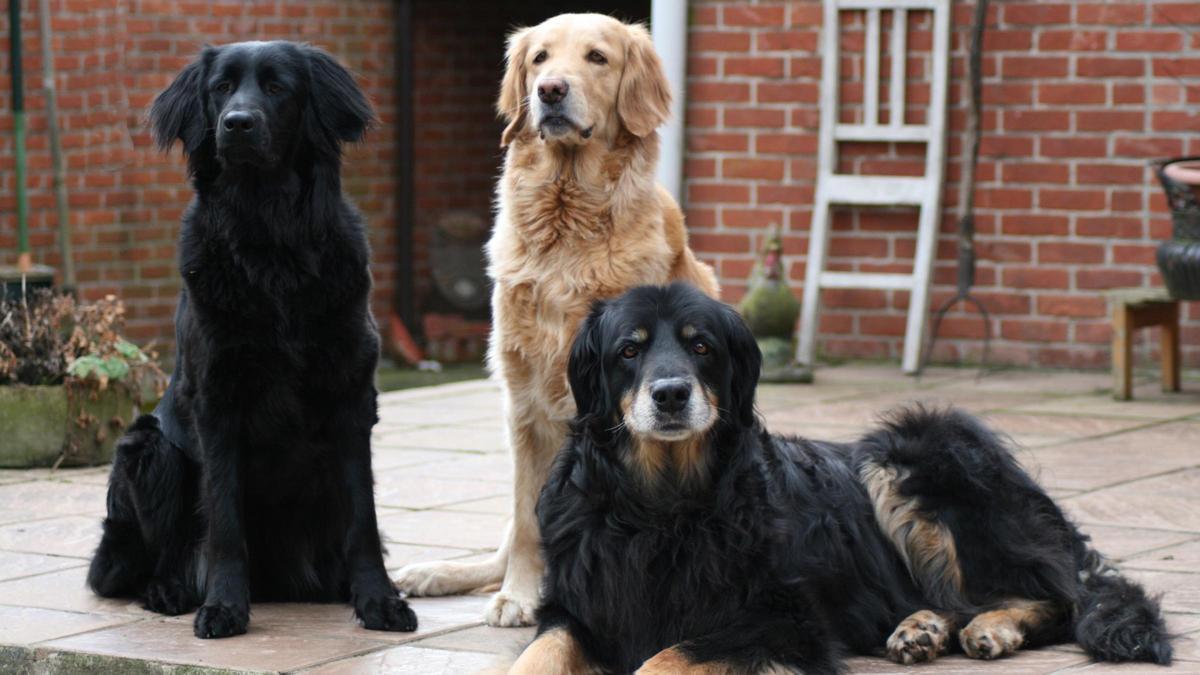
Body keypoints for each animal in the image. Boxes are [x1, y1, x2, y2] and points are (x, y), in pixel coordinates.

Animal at [85, 42, 417, 634]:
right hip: (146, 448)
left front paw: (378, 599)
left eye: (278, 87)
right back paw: (170, 590)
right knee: (145, 560)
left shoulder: (352, 397)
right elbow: (223, 519)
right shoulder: (216, 400)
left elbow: (364, 517)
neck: (270, 239)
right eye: (220, 88)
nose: (236, 124)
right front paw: (222, 605)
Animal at [393, 11, 715, 624]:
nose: (549, 91)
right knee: (500, 545)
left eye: (597, 57)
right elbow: (526, 523)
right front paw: (519, 596)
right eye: (539, 58)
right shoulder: (525, 406)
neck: (569, 224)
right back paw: (433, 574)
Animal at [508, 282, 1171, 672]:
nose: (670, 394)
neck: (659, 506)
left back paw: (992, 626)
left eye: (701, 348)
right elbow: (538, 655)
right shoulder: (577, 605)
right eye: (629, 350)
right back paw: (923, 629)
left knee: (1058, 596)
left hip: (911, 453)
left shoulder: (781, 620)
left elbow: (666, 657)